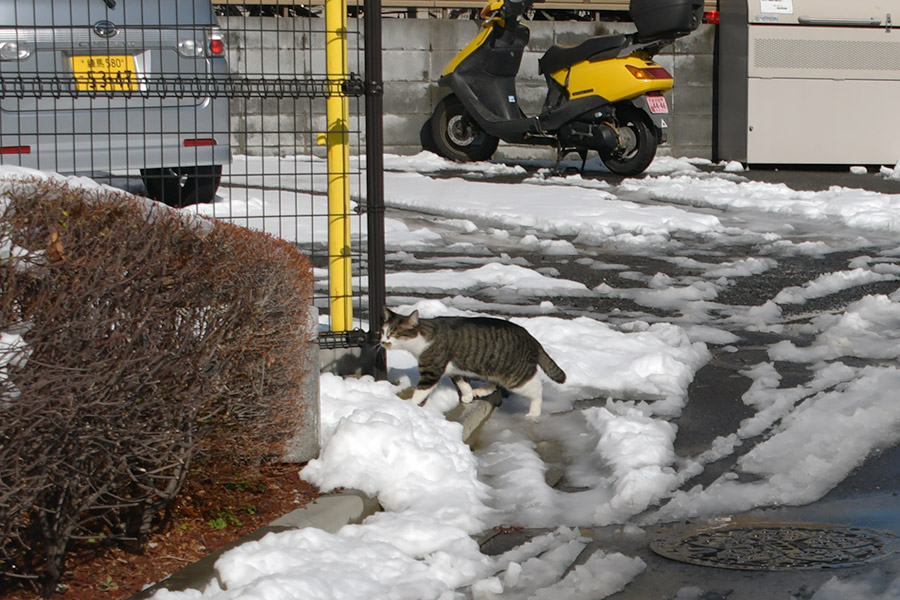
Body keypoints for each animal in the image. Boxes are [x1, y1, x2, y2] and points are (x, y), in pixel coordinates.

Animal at [382, 308, 568, 414]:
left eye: (394, 333)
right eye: (383, 332)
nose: (383, 342)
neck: (421, 338)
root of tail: (532, 338)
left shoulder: (432, 370)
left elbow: (420, 392)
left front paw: (408, 406)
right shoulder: (454, 368)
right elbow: (462, 382)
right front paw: (468, 395)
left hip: (515, 377)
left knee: (537, 389)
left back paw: (534, 414)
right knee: (495, 382)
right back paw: (481, 390)